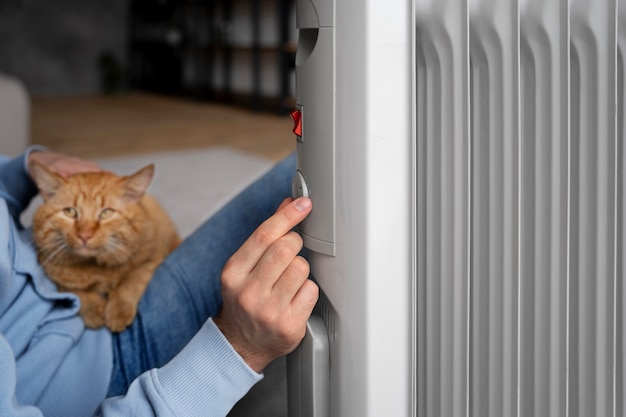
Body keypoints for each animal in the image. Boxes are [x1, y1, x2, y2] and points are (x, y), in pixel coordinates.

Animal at [30, 162, 179, 332]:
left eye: (106, 212)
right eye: (70, 212)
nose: (85, 235)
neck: (97, 267)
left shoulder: (152, 260)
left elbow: (131, 282)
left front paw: (118, 311)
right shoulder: (56, 277)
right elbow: (78, 293)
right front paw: (94, 310)